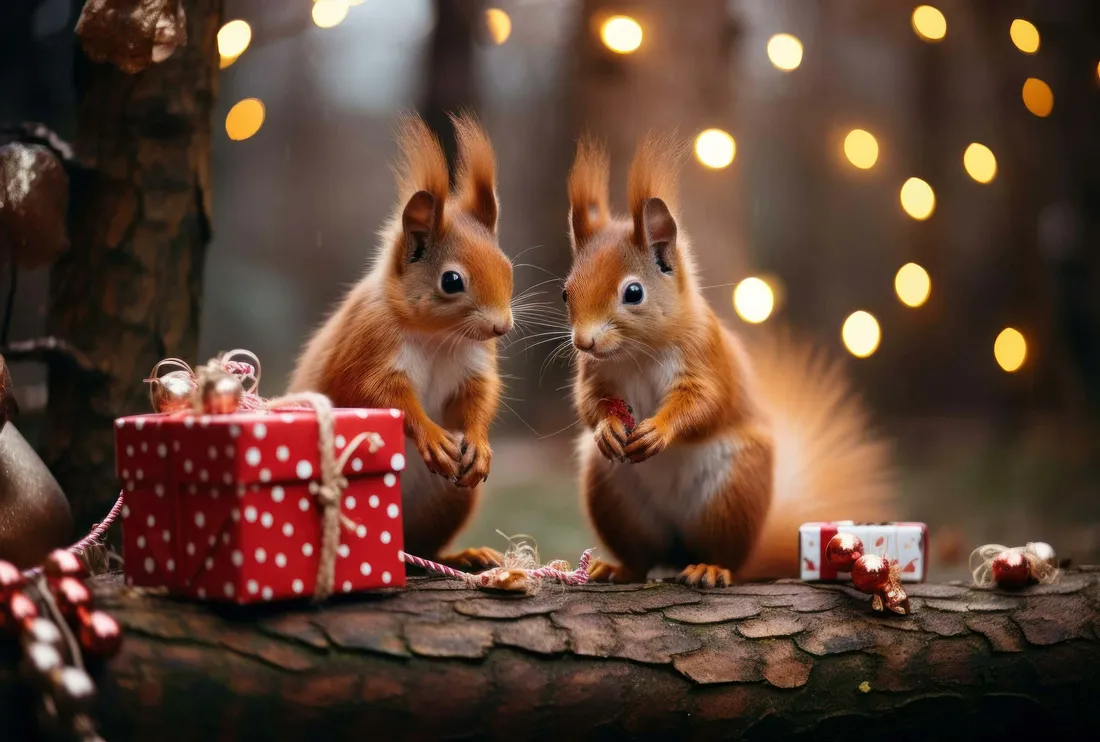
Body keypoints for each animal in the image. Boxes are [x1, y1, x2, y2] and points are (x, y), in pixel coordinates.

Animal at [289, 112, 512, 569]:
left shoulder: (475, 363)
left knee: (425, 547)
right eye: (451, 281)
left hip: (447, 501)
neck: (439, 337)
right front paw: (432, 436)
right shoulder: (368, 347)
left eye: (507, 266)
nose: (502, 327)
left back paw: (463, 556)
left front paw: (478, 444)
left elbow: (479, 396)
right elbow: (380, 397)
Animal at [561, 134, 894, 587]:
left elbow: (705, 401)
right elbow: (588, 402)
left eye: (633, 293)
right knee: (642, 557)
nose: (584, 341)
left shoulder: (705, 355)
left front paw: (659, 430)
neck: (638, 352)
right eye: (565, 293)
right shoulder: (595, 373)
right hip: (612, 494)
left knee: (721, 553)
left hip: (732, 494)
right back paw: (617, 568)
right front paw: (608, 428)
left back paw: (709, 567)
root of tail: (678, 550)